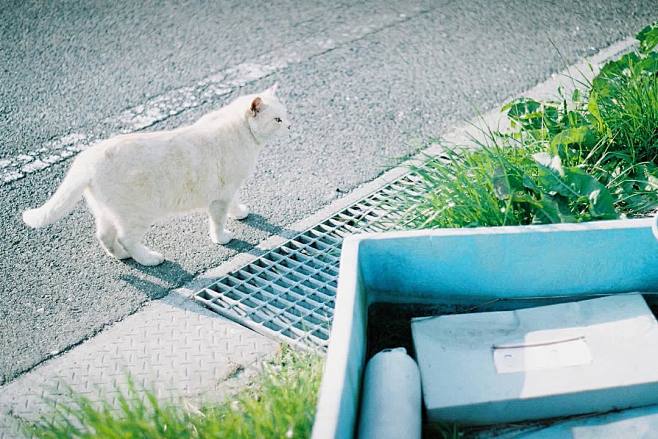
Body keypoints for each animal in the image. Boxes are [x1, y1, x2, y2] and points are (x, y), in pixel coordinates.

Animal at [22, 84, 288, 266]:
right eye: (277, 119)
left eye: (285, 115)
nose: (290, 126)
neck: (242, 132)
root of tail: (87, 158)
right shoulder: (220, 195)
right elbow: (218, 220)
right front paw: (221, 238)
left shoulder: (228, 189)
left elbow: (234, 202)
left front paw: (239, 212)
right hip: (137, 213)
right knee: (126, 238)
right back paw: (148, 259)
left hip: (106, 212)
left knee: (105, 236)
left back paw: (122, 256)